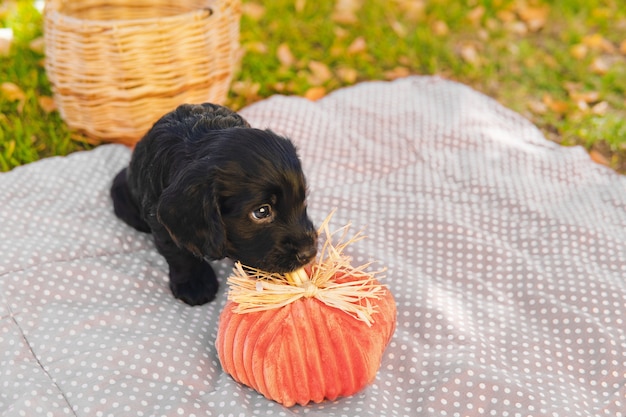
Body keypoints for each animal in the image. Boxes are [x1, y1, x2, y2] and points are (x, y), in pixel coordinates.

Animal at [109, 103, 316, 306]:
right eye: (261, 211)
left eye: (303, 200)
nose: (309, 253)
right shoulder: (161, 220)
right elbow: (179, 251)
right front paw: (195, 283)